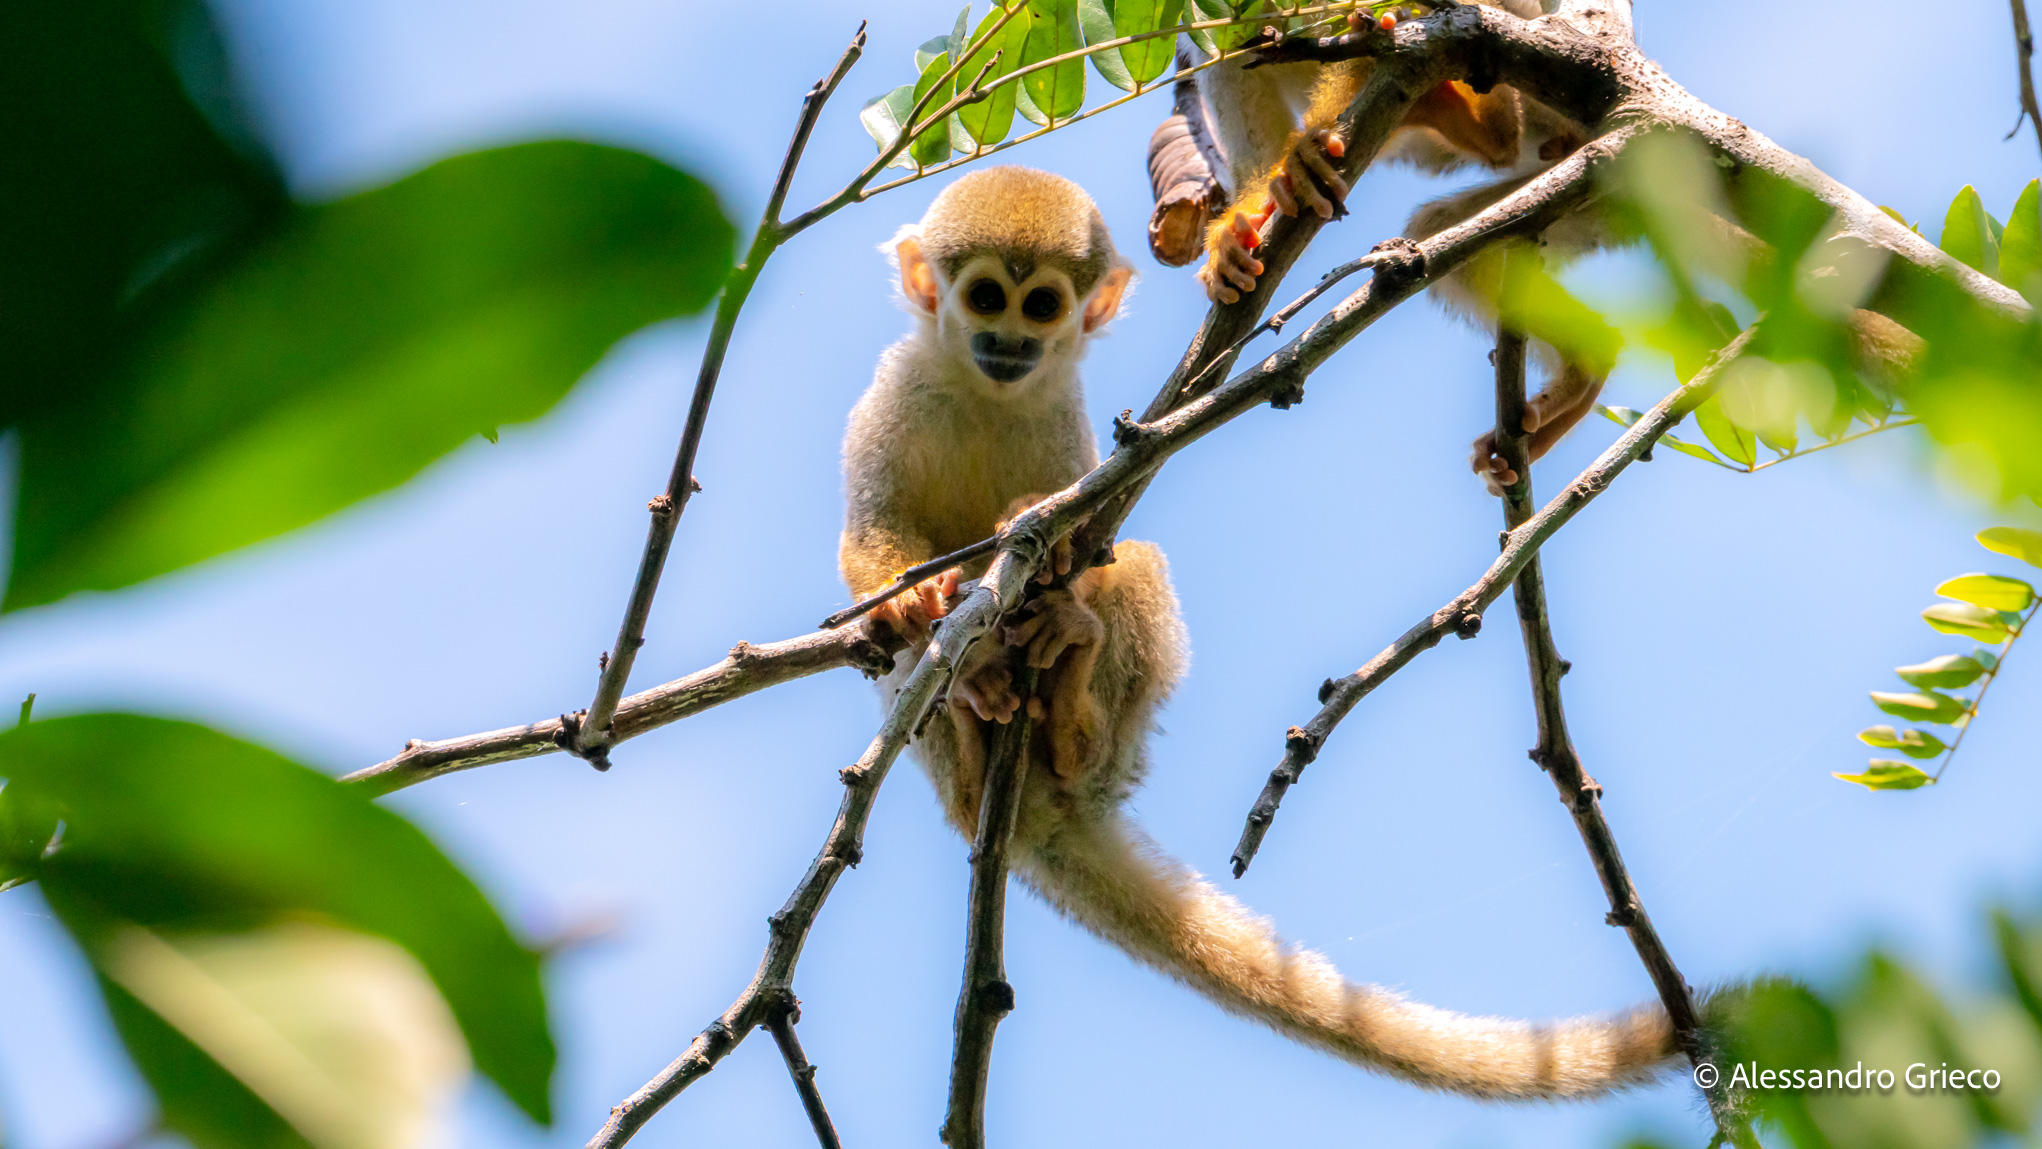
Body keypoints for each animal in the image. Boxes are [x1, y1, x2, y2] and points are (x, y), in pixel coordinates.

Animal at [842, 165, 1700, 1101]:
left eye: (1040, 306)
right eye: (983, 296)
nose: (1006, 343)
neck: (988, 393)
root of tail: (1030, 815)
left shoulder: (1065, 416)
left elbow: (1098, 535)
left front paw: (1054, 556)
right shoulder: (891, 392)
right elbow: (866, 541)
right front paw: (901, 606)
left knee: (1134, 569)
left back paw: (1070, 707)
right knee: (917, 672)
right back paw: (970, 712)